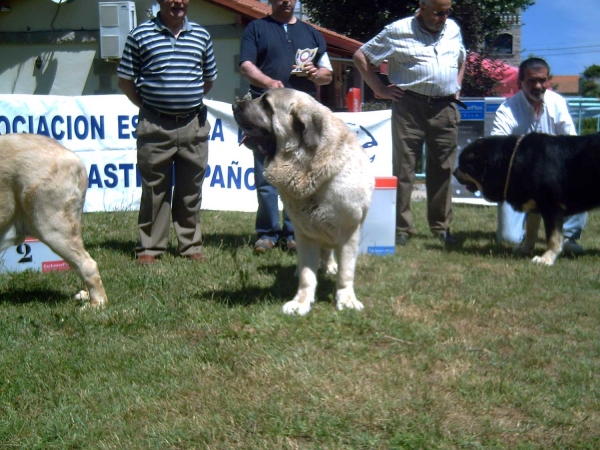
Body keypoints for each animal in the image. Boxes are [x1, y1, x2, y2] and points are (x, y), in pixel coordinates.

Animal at [232, 89, 372, 314]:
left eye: (266, 104)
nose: (235, 106)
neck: (308, 165)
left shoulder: (349, 232)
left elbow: (346, 272)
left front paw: (346, 299)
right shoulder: (305, 232)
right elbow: (308, 274)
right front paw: (301, 302)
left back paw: (330, 266)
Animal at [454, 132, 600, 266]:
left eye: (463, 165)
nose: (454, 173)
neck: (511, 162)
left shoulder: (551, 207)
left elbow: (553, 237)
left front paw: (546, 258)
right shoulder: (534, 206)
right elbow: (530, 231)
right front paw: (525, 249)